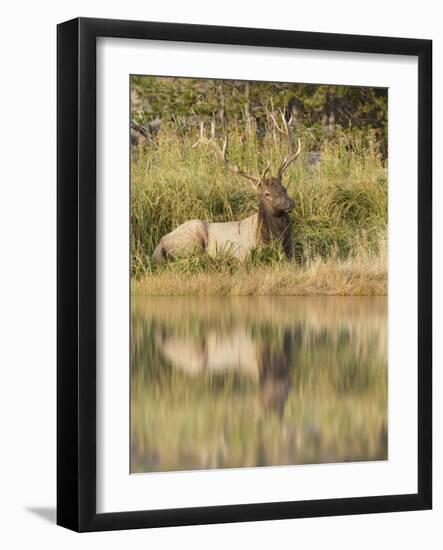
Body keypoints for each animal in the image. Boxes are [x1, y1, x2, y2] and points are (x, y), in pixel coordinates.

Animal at [153, 113, 302, 264]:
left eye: (284, 188)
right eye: (266, 193)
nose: (289, 203)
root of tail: (158, 248)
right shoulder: (244, 255)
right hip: (192, 238)